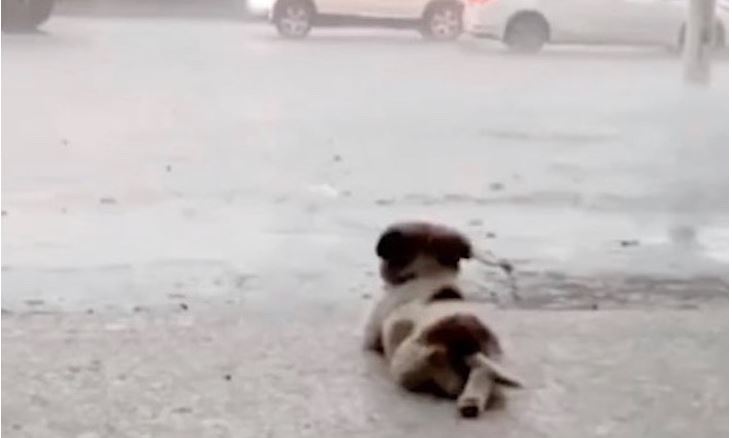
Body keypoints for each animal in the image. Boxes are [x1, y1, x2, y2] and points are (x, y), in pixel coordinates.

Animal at [364, 222, 516, 418]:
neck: (430, 273)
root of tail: (470, 338)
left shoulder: (371, 334)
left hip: (406, 359)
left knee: (438, 369)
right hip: (490, 363)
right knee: (478, 379)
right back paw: (470, 403)